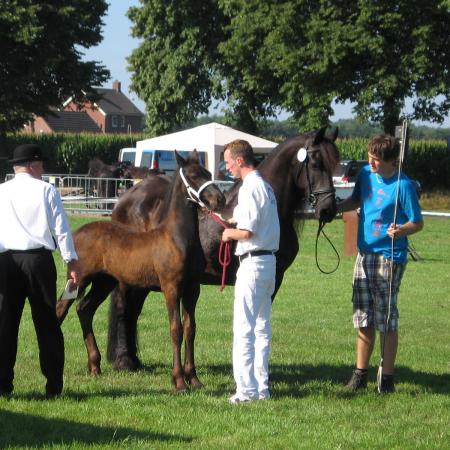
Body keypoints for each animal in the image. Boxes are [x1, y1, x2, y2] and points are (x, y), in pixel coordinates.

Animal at [58, 151, 227, 390]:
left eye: (209, 174)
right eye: (193, 176)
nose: (219, 200)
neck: (178, 238)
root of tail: (76, 233)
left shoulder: (193, 290)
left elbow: (190, 329)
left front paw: (194, 379)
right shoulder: (171, 288)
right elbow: (175, 329)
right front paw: (178, 381)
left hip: (103, 282)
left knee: (84, 309)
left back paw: (94, 366)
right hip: (78, 280)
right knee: (60, 310)